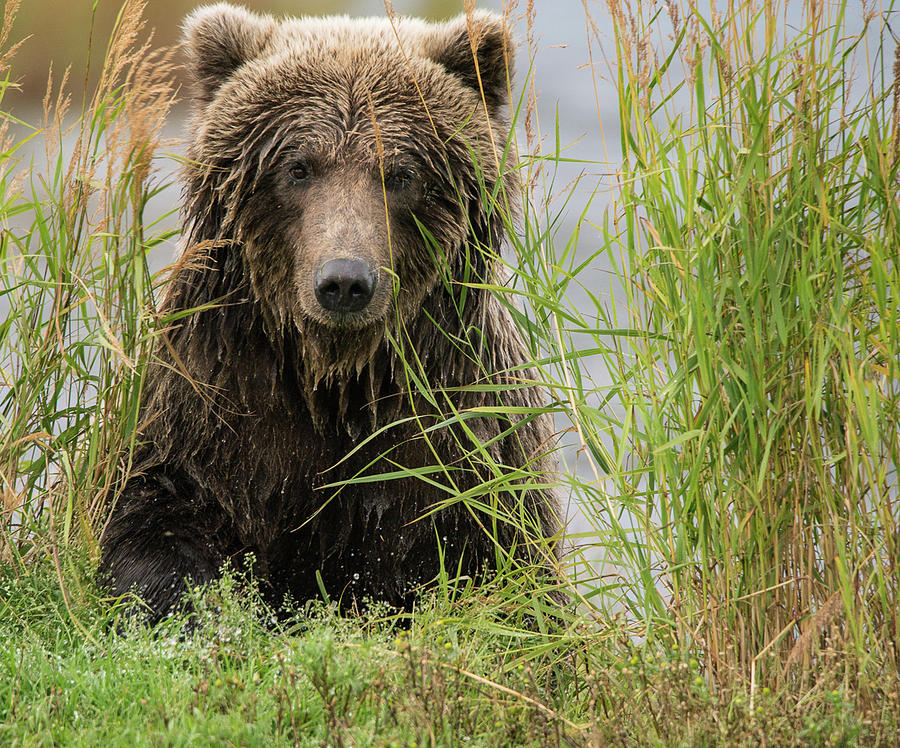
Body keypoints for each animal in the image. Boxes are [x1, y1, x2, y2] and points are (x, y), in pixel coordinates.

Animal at [98, 2, 564, 624]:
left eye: (400, 173)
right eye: (298, 168)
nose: (345, 282)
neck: (334, 376)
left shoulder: (462, 436)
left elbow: (505, 568)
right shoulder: (212, 408)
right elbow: (156, 515)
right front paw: (193, 603)